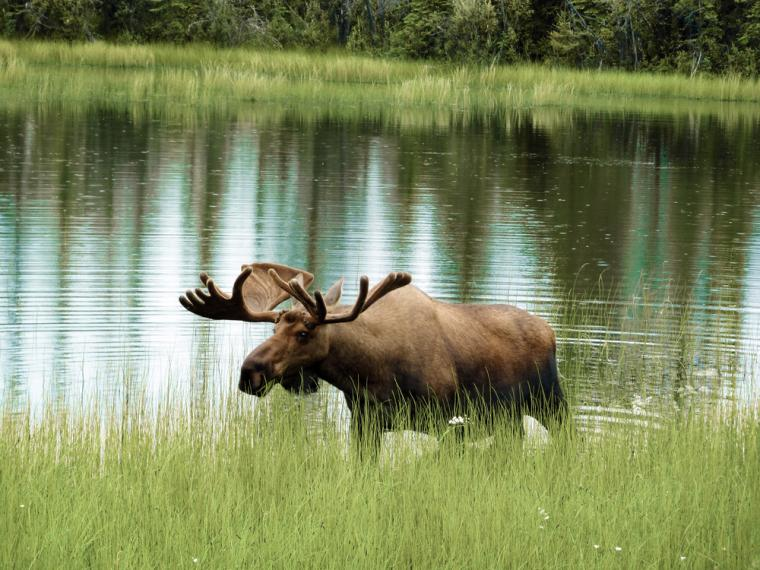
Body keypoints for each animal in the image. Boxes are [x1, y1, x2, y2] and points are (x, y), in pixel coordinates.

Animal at [180, 260, 568, 448]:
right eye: (273, 330)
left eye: (304, 333)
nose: (250, 372)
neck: (368, 373)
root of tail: (550, 333)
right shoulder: (365, 423)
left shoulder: (447, 424)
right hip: (510, 420)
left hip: (551, 404)